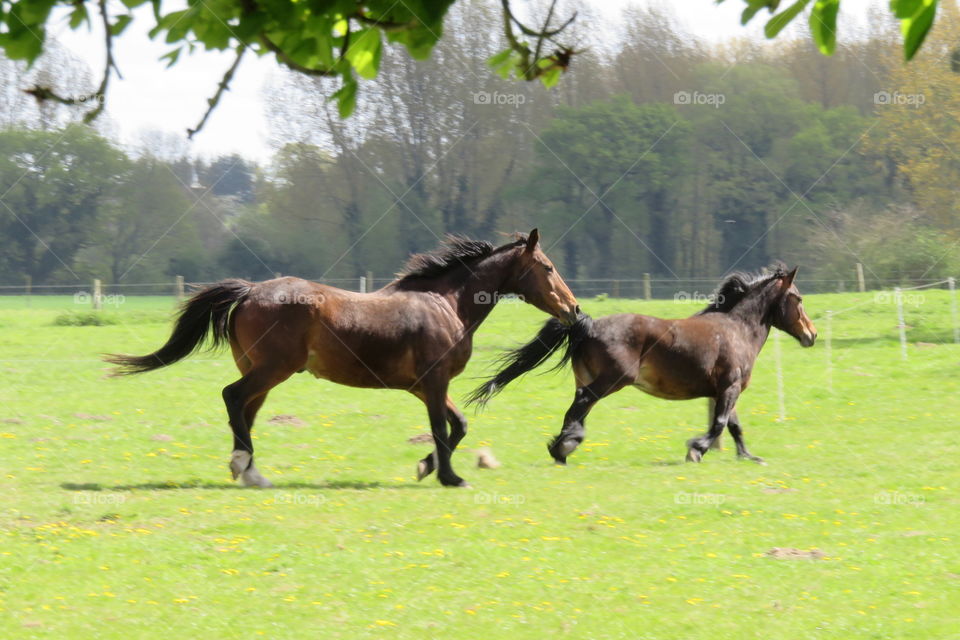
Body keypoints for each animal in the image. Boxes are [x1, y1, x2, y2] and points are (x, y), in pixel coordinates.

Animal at [105, 230, 580, 488]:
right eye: (548, 267)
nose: (574, 309)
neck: (445, 304)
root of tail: (250, 290)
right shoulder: (433, 382)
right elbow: (441, 429)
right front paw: (449, 476)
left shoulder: (426, 386)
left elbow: (457, 425)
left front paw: (426, 467)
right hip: (273, 369)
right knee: (232, 398)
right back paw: (244, 466)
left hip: (260, 371)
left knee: (244, 411)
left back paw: (251, 472)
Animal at [468, 264, 816, 465]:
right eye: (798, 299)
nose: (811, 335)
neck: (736, 329)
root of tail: (588, 325)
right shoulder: (729, 388)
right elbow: (719, 424)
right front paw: (696, 450)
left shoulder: (724, 390)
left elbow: (733, 425)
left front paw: (747, 456)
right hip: (613, 379)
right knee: (581, 405)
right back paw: (562, 448)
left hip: (588, 378)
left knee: (578, 408)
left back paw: (565, 446)